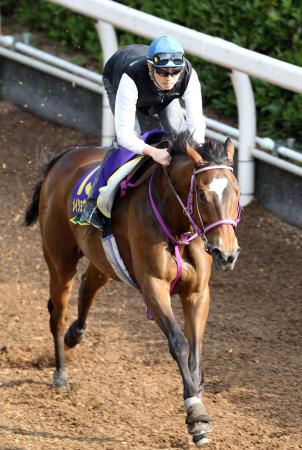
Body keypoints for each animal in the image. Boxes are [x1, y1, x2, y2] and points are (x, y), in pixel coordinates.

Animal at [24, 131, 241, 446]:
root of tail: (65, 157)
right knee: (58, 312)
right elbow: (179, 342)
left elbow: (195, 350)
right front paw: (196, 417)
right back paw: (61, 373)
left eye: (236, 192)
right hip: (59, 258)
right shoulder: (153, 286)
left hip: (104, 260)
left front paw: (198, 401)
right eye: (202, 195)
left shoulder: (197, 292)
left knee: (89, 285)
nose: (227, 254)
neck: (176, 225)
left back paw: (75, 335)